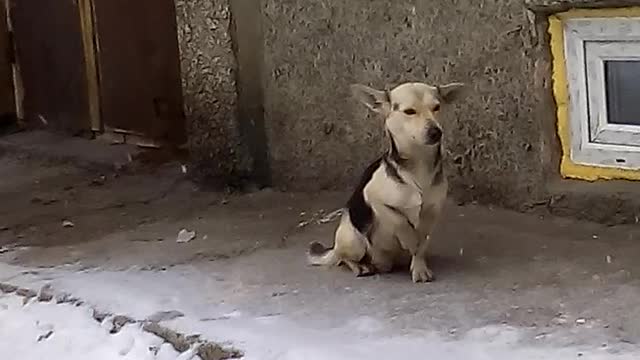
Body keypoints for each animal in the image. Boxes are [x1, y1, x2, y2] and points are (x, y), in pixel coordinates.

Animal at [306, 81, 462, 284]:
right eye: (409, 111)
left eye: (437, 107)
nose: (436, 131)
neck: (419, 163)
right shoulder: (374, 198)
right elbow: (399, 221)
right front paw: (409, 239)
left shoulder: (432, 212)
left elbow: (421, 243)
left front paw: (419, 267)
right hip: (353, 241)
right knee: (343, 258)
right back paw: (360, 267)